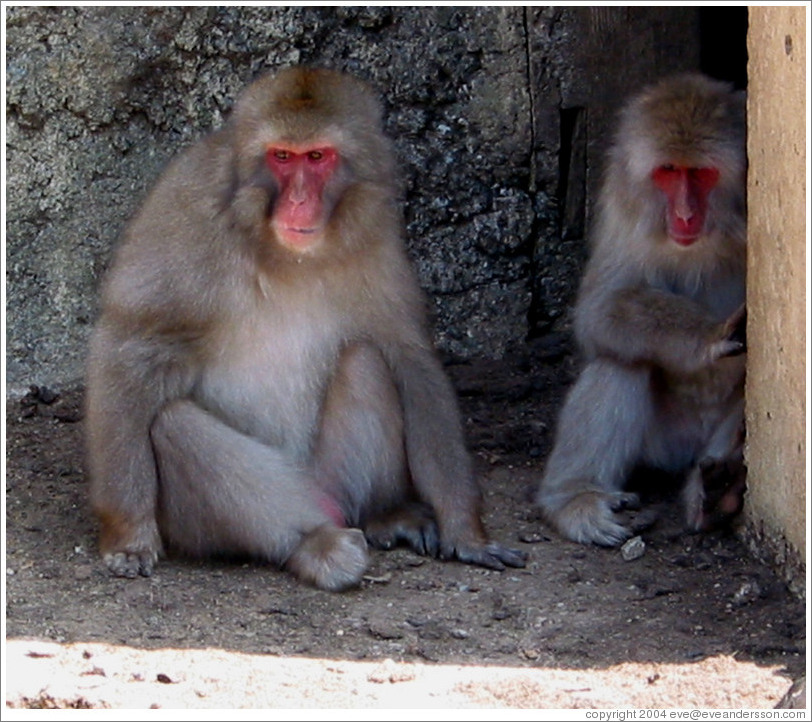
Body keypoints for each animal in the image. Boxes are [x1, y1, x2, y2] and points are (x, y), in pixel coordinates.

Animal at [532, 74, 748, 544]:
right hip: (661, 442)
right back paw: (574, 497)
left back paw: (714, 496)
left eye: (700, 173)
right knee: (621, 359)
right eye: (668, 171)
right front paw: (709, 337)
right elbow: (599, 310)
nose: (684, 216)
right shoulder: (622, 206)